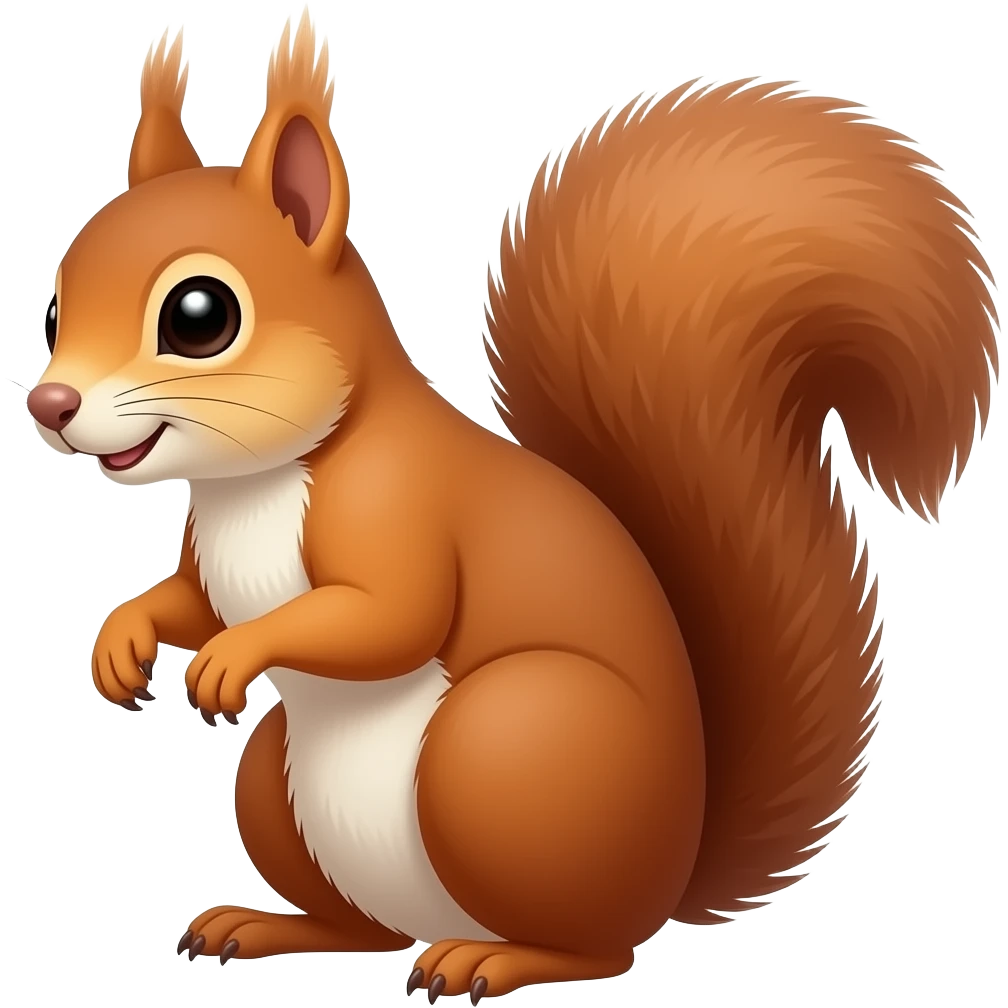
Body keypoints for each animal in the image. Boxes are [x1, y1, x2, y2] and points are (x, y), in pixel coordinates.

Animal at [30, 9, 998, 1000]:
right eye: (56, 306)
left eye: (200, 316)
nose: (51, 404)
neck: (256, 485)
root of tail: (672, 873)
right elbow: (188, 599)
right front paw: (124, 640)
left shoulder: (396, 505)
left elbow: (391, 615)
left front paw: (232, 657)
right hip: (276, 783)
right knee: (364, 930)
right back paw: (268, 926)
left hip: (505, 750)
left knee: (596, 948)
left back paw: (491, 960)